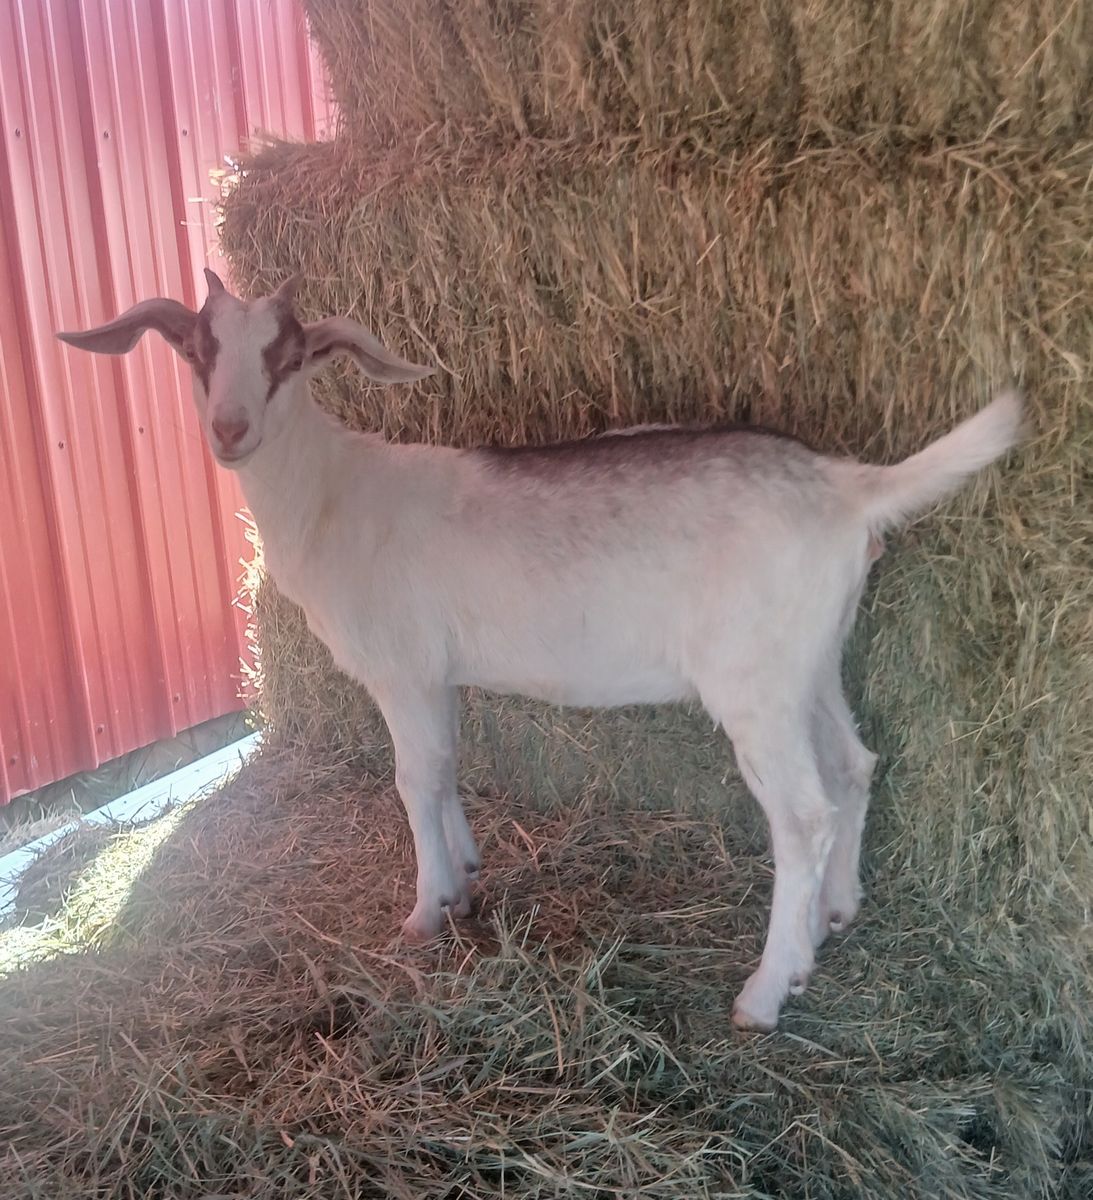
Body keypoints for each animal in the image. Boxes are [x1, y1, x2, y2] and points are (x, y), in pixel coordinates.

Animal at [58, 272, 1022, 1030]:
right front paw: (464, 877)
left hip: (753, 681)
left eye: (289, 357)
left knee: (803, 813)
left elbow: (413, 777)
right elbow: (446, 768)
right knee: (854, 766)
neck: (334, 497)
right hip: (809, 661)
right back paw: (833, 916)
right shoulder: (439, 674)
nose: (230, 430)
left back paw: (765, 989)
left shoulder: (403, 667)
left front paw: (422, 913)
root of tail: (847, 487)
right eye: (196, 350)